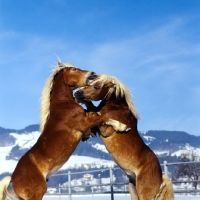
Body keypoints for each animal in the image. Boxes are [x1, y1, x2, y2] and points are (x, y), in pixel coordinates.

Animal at [0, 64, 129, 200]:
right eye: (74, 69)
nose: (93, 73)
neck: (63, 105)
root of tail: (13, 178)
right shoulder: (85, 121)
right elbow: (102, 117)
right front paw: (123, 127)